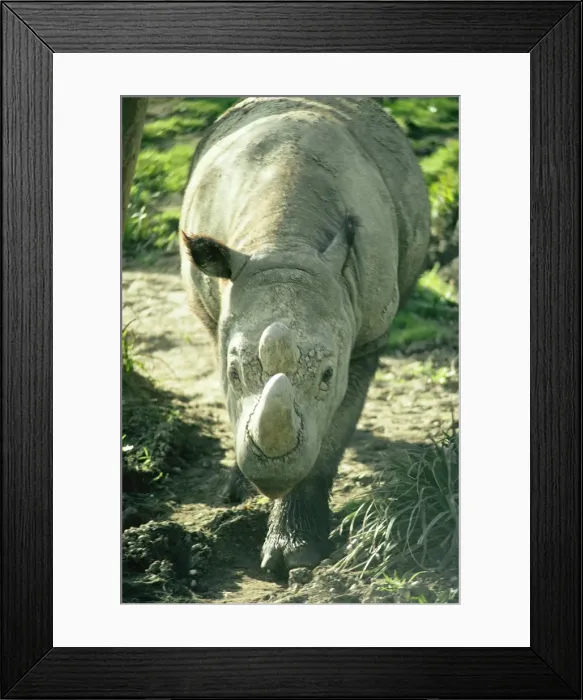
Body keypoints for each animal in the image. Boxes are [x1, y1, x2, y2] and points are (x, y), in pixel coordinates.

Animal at [179, 97, 430, 573]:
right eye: (235, 372)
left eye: (328, 374)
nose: (271, 474)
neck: (284, 243)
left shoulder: (364, 339)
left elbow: (326, 443)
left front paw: (296, 556)